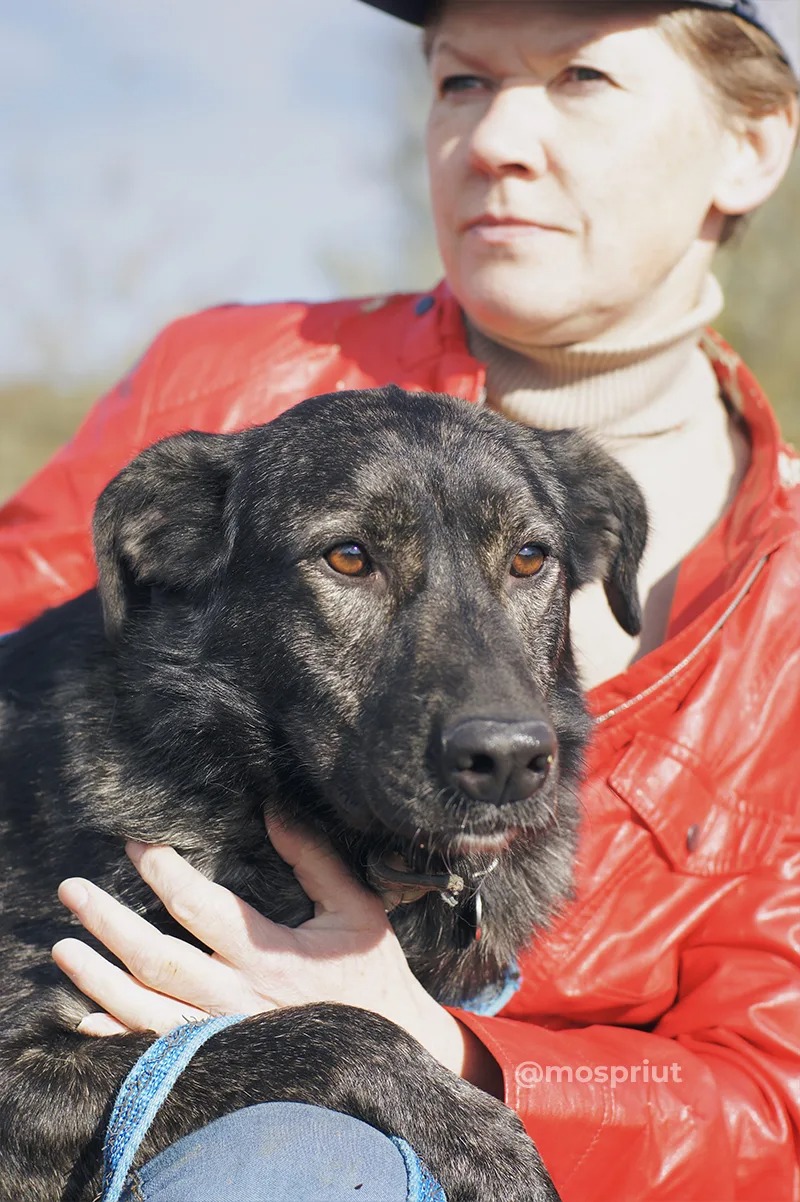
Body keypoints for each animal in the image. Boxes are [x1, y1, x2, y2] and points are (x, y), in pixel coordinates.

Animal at [0, 387, 643, 1202]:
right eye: (349, 557)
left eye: (530, 558)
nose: (507, 760)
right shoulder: (20, 1063)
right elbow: (327, 1029)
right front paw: (487, 1145)